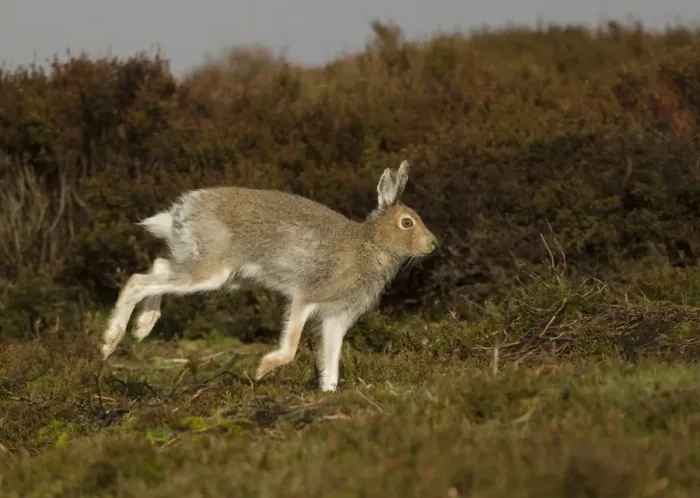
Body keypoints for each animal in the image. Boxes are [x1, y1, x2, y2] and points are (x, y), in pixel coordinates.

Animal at [100, 159, 438, 392]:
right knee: (137, 280)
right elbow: (290, 347)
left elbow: (331, 360)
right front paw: (262, 370)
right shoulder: (307, 298)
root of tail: (181, 211)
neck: (372, 244)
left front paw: (328, 393)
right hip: (211, 270)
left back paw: (142, 327)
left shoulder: (336, 318)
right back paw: (110, 341)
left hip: (214, 270)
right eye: (407, 223)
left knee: (158, 265)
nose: (433, 244)